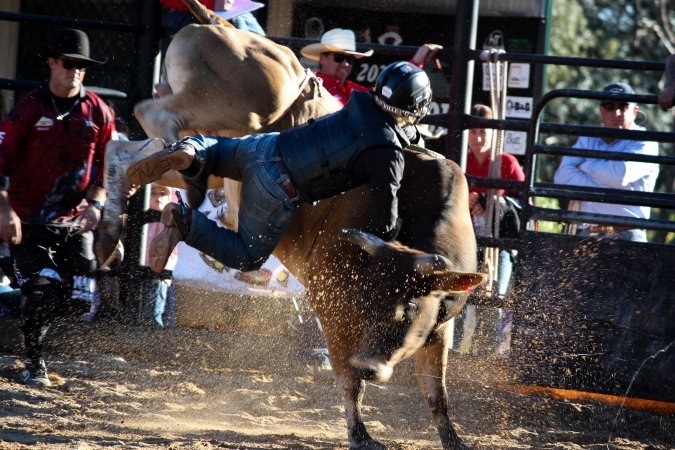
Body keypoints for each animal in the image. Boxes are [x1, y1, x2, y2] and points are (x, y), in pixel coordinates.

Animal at [97, 1, 485, 449]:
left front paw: (453, 438)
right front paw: (360, 433)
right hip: (250, 106)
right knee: (154, 116)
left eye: (407, 310)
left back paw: (118, 228)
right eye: (369, 301)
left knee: (125, 153)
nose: (370, 365)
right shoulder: (334, 308)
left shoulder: (439, 330)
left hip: (221, 155)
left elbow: (437, 395)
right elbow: (347, 379)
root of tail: (222, 25)